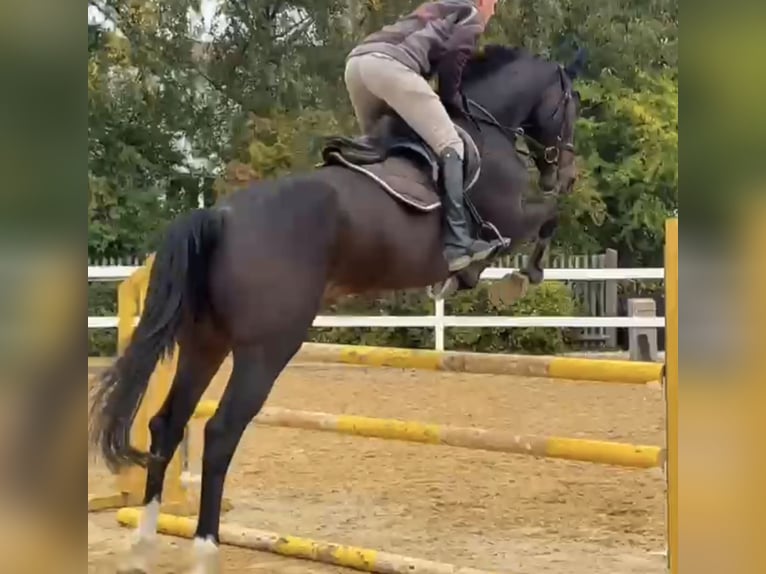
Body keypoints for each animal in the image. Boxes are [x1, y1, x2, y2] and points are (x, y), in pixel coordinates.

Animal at [89, 44, 584, 573]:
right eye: (570, 105)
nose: (565, 170)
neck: (486, 125)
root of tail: (218, 214)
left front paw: (472, 277)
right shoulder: (510, 219)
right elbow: (549, 217)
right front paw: (513, 279)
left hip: (205, 343)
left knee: (167, 423)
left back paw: (143, 543)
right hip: (267, 350)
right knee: (221, 433)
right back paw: (205, 550)